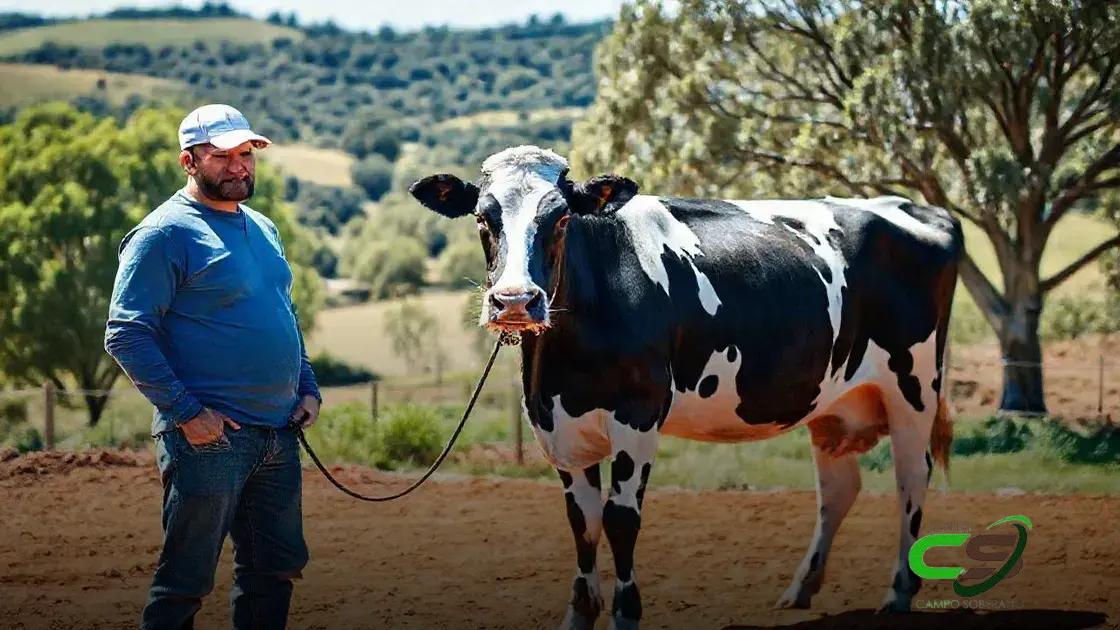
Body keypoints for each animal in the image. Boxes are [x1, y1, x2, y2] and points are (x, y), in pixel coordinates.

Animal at [409, 145, 960, 629]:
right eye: (483, 219)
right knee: (839, 488)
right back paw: (801, 588)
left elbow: (620, 519)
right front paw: (580, 614)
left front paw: (626, 613)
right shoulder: (558, 426)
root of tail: (915, 206)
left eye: (561, 219)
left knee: (911, 477)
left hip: (914, 384)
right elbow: (582, 522)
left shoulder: (638, 414)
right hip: (830, 400)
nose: (515, 301)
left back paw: (899, 591)